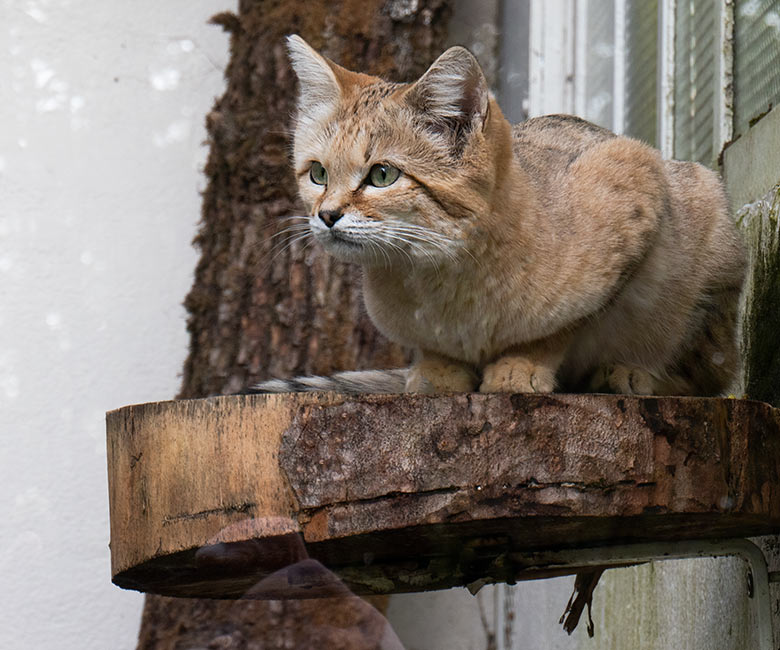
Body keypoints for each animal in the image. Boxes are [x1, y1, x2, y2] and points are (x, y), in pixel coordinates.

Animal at [250, 38, 744, 398]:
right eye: (318, 173)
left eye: (382, 175)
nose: (326, 215)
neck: (439, 274)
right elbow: (433, 350)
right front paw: (438, 370)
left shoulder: (637, 183)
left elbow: (561, 327)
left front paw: (521, 365)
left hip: (706, 236)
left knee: (704, 376)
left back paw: (633, 374)